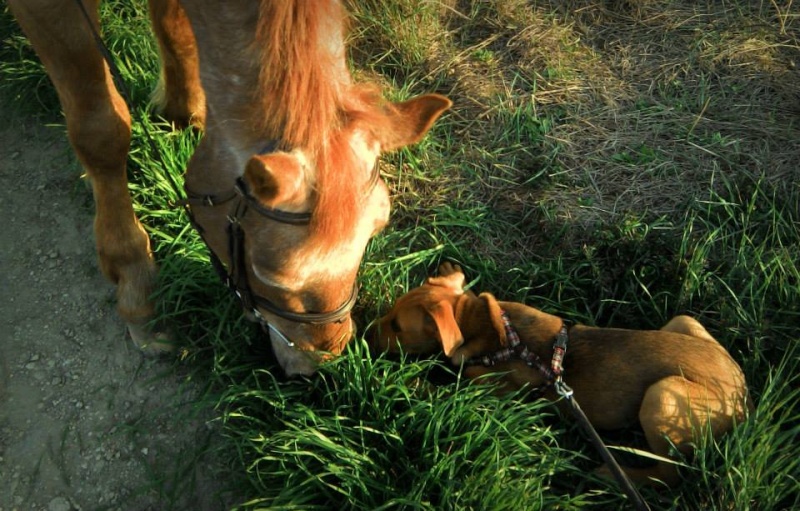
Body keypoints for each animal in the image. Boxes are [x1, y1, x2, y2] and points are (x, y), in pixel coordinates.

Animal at [7, 0, 450, 376]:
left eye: (377, 231)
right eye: (273, 274)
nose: (320, 364)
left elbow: (176, 30)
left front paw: (182, 112)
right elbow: (99, 130)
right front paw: (136, 283)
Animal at [372, 264, 752, 488]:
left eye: (397, 327)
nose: (366, 332)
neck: (481, 324)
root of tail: (742, 401)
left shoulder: (493, 395)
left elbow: (444, 392)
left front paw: (405, 383)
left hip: (661, 396)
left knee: (670, 474)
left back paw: (614, 474)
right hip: (683, 322)